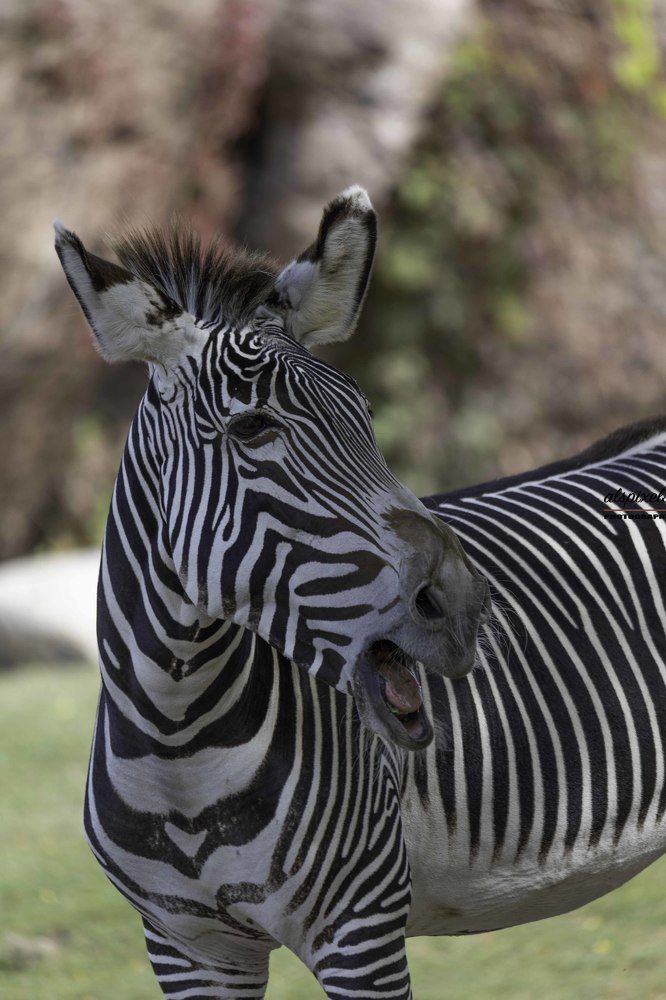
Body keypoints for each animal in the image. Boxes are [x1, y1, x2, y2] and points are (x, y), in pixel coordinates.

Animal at [53, 188, 666, 998]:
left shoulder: (360, 932)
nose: (466, 603)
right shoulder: (186, 947)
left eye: (365, 419)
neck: (177, 744)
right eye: (251, 428)